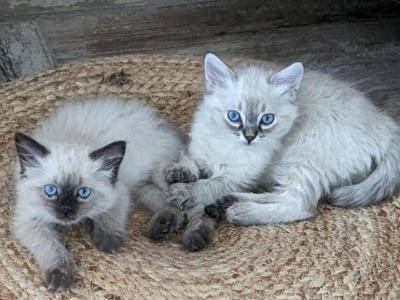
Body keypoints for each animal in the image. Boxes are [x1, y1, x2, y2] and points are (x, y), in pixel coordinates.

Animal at [12, 98, 181, 290]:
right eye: (51, 190)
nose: (65, 211)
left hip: (161, 176)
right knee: (158, 197)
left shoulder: (118, 192)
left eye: (83, 193)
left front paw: (107, 241)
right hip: (140, 186)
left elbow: (109, 217)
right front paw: (60, 275)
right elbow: (50, 246)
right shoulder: (29, 219)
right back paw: (162, 225)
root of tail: (159, 119)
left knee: (184, 206)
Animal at [148, 53, 400, 251]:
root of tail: (385, 124)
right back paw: (229, 202)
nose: (250, 136)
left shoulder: (237, 175)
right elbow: (188, 159)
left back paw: (240, 211)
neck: (226, 143)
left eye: (267, 120)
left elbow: (208, 184)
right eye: (234, 116)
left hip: (302, 160)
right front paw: (179, 172)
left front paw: (183, 192)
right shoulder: (200, 150)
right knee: (281, 195)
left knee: (301, 205)